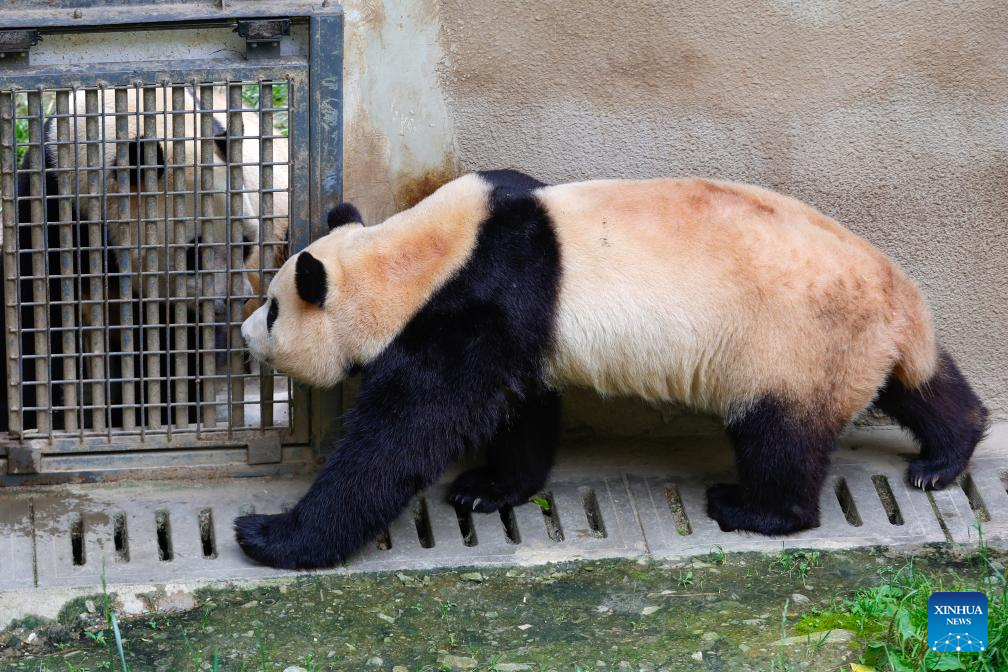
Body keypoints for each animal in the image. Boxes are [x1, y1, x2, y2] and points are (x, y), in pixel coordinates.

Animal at [231, 167, 987, 568]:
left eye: (273, 309)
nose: (241, 334)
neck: (420, 256)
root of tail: (897, 297)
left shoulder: (481, 301)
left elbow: (405, 433)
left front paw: (270, 534)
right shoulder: (520, 319)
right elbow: (522, 407)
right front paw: (490, 489)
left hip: (792, 345)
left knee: (780, 436)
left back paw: (753, 507)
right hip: (860, 344)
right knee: (920, 385)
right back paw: (946, 455)